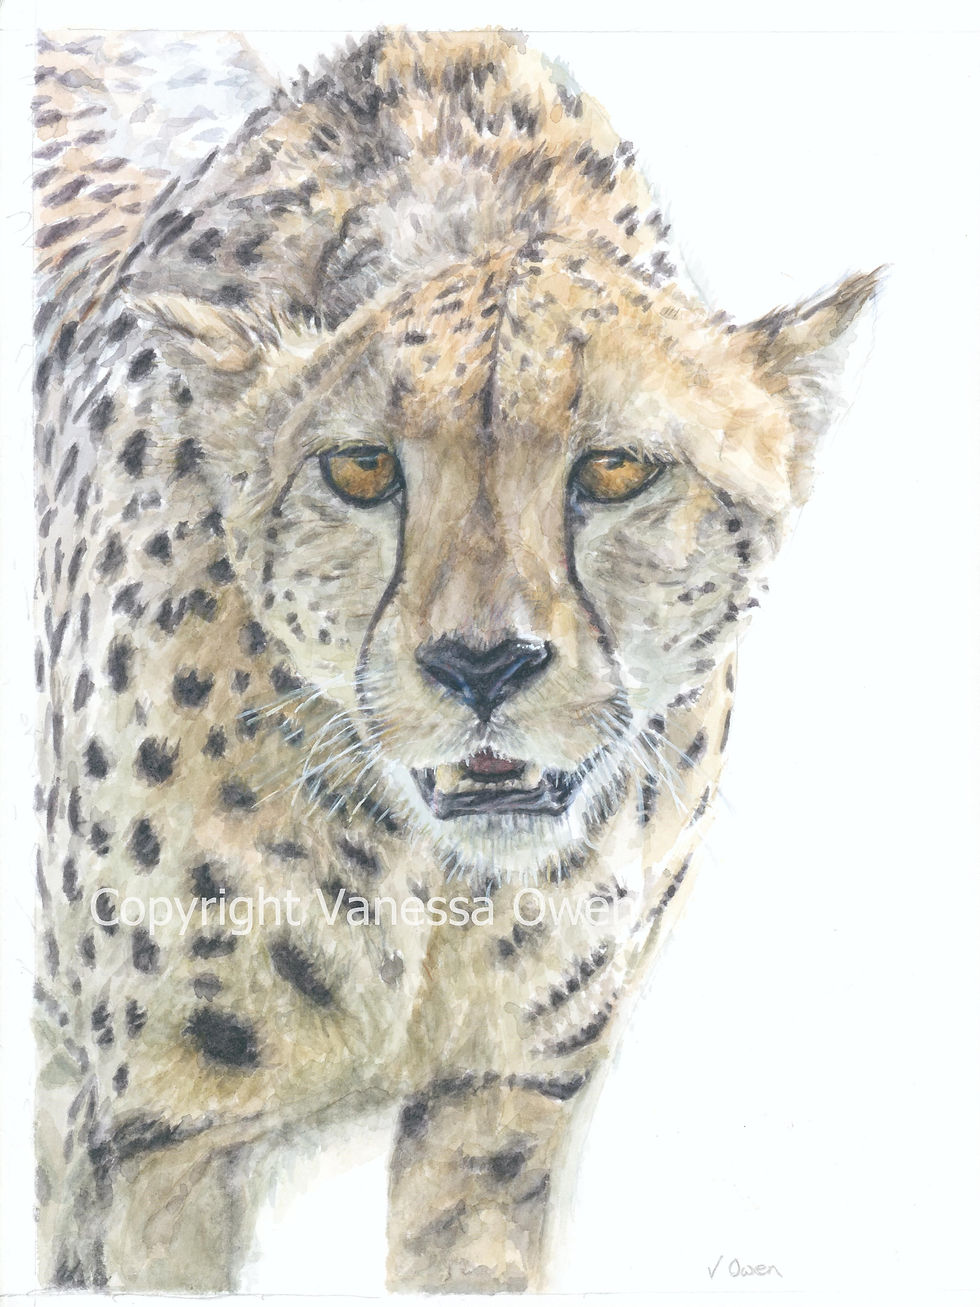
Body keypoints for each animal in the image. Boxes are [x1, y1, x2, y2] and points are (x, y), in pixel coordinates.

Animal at [33, 26, 878, 1293]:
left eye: (616, 469)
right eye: (361, 470)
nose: (482, 666)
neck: (424, 875)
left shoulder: (500, 1099)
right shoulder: (163, 1131)